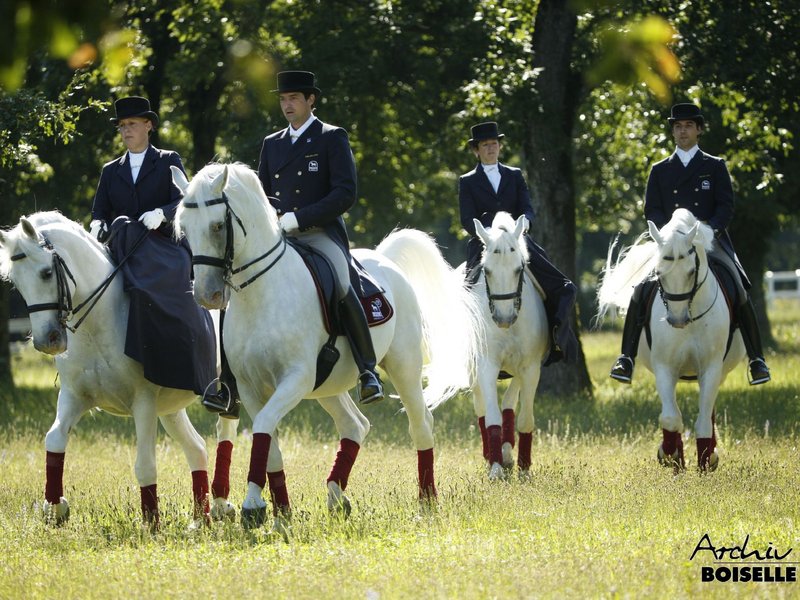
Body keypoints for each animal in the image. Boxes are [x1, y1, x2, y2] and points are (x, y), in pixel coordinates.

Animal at [0, 211, 238, 527]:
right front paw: (56, 507)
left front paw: (151, 524)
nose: (46, 341)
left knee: (226, 430)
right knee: (197, 448)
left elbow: (145, 465)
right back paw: (201, 518)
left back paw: (222, 503)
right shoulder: (74, 396)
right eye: (16, 283)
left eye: (46, 273)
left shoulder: (143, 402)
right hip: (171, 408)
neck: (98, 322)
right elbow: (54, 440)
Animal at [173, 163, 481, 531]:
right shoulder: (250, 387)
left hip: (403, 366)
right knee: (355, 425)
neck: (262, 292)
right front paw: (279, 513)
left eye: (218, 226)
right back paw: (336, 496)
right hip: (328, 385)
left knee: (420, 424)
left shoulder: (296, 378)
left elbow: (263, 428)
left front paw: (253, 505)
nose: (207, 295)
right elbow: (269, 439)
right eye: (184, 230)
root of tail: (384, 260)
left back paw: (427, 502)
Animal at [440, 212, 548, 479]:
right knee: (481, 407)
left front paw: (523, 468)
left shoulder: (530, 367)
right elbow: (490, 416)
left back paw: (508, 452)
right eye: (486, 271)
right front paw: (496, 468)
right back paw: (492, 454)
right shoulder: (486, 365)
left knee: (509, 403)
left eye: (519, 269)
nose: (503, 318)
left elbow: (524, 417)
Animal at [597, 208, 746, 471]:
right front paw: (670, 455)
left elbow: (703, 419)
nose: (677, 320)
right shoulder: (665, 367)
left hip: (719, 372)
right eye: (658, 273)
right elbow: (670, 418)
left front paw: (705, 461)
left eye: (691, 272)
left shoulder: (711, 367)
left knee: (709, 411)